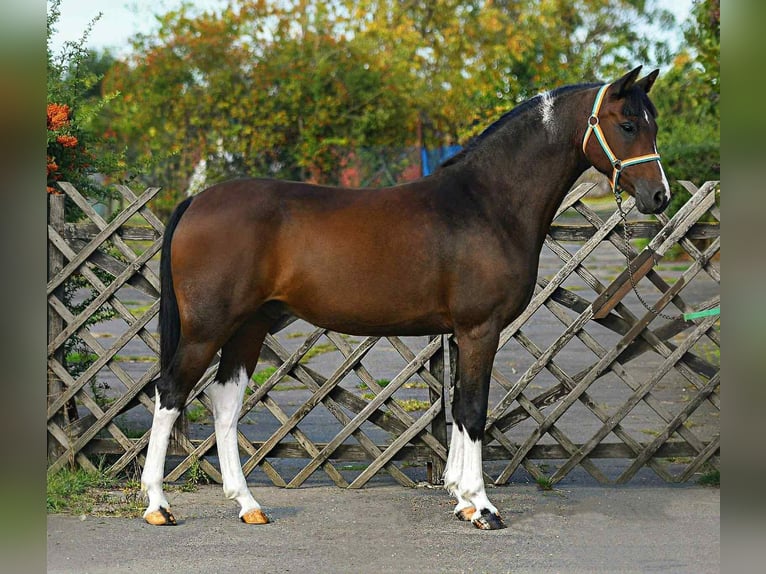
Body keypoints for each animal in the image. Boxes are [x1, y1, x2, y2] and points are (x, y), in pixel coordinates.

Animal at [141, 66, 670, 530]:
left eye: (654, 124)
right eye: (627, 124)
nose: (659, 196)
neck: (487, 203)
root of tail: (197, 200)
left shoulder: (459, 334)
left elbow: (458, 408)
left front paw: (461, 499)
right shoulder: (480, 330)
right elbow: (474, 411)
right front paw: (482, 507)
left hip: (250, 326)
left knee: (224, 400)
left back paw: (248, 504)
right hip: (208, 328)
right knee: (171, 392)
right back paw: (158, 506)